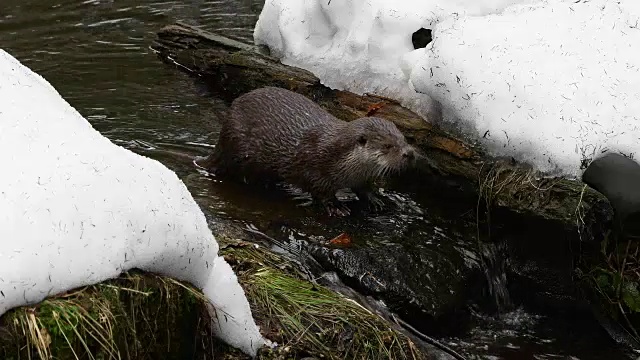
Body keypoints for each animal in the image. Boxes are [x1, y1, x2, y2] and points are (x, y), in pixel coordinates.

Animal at [204, 86, 416, 217]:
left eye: (404, 140)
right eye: (388, 146)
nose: (409, 154)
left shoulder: (360, 177)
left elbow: (364, 188)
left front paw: (375, 200)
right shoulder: (315, 169)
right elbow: (319, 190)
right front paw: (336, 206)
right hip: (239, 147)